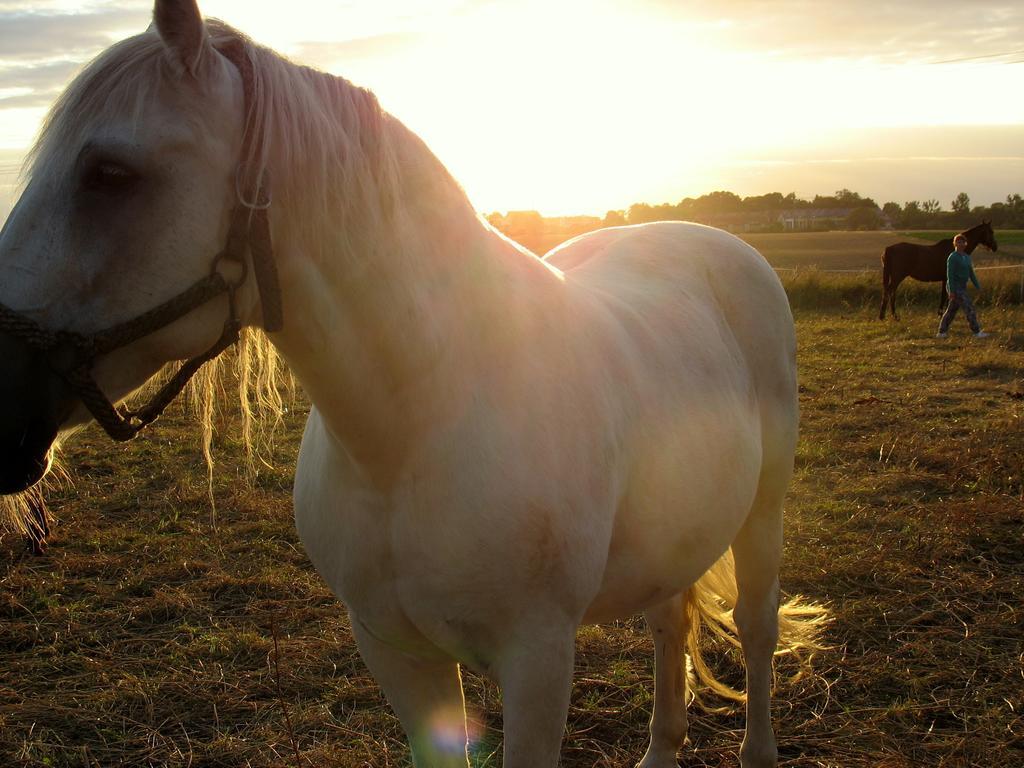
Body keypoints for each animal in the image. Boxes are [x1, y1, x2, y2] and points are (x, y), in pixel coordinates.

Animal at [0, 3, 823, 765]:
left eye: (110, 174)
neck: (418, 428)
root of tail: (704, 239)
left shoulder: (539, 661)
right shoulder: (395, 653)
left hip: (763, 513)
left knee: (755, 629)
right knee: (669, 624)